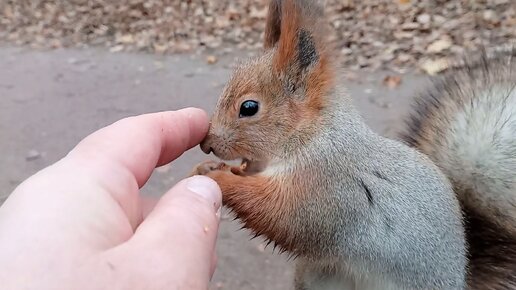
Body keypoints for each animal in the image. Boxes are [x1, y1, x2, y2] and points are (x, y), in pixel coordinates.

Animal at [190, 0, 516, 290]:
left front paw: (217, 176)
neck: (313, 137)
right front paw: (213, 166)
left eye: (249, 107)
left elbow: (280, 214)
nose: (206, 143)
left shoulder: (327, 188)